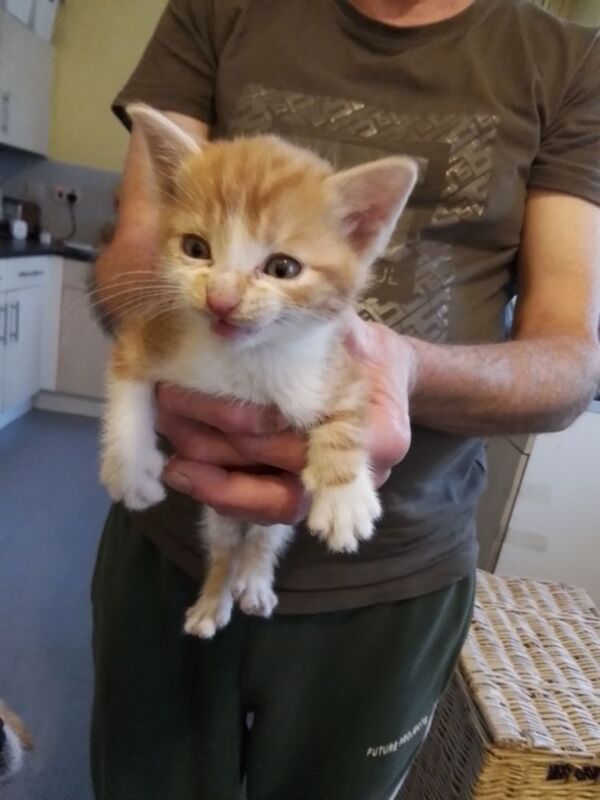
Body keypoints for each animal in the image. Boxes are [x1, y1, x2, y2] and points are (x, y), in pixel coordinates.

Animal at [99, 104, 418, 636]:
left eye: (283, 268)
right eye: (195, 248)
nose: (221, 299)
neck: (246, 361)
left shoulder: (340, 367)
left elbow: (347, 415)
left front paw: (344, 493)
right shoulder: (152, 330)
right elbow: (127, 385)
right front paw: (130, 470)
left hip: (280, 511)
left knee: (265, 534)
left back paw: (253, 581)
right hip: (220, 508)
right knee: (227, 542)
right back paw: (216, 599)